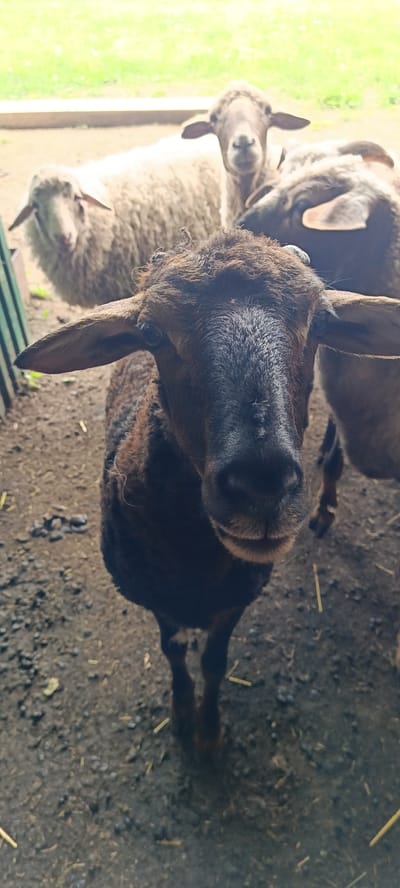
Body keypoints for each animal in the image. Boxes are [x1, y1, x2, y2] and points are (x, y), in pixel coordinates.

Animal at [15, 229, 400, 751]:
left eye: (320, 321)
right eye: (151, 333)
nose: (261, 485)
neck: (197, 561)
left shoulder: (234, 602)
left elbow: (214, 662)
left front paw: (211, 729)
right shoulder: (159, 603)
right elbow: (174, 653)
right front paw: (183, 715)